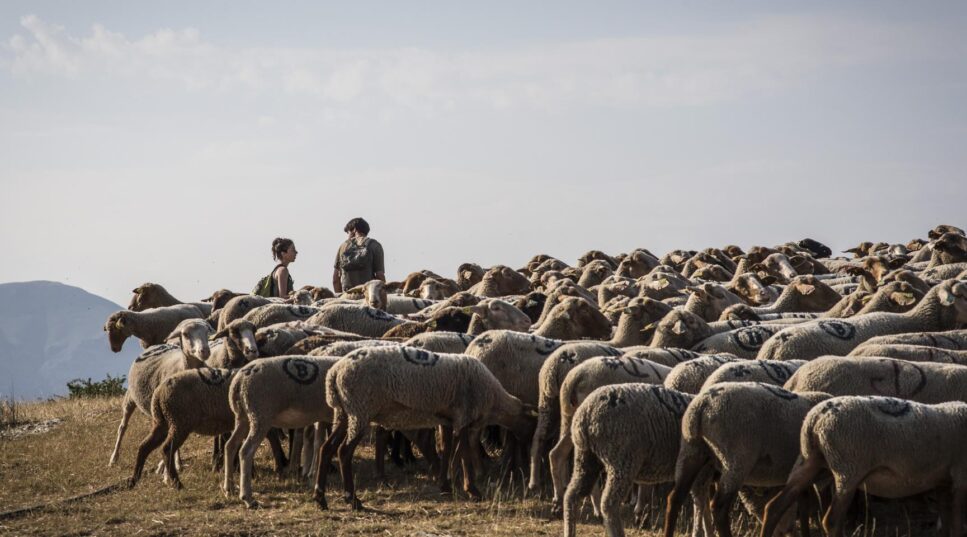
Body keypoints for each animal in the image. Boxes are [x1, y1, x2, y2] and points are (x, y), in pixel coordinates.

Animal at [221, 355, 341, 508]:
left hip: (243, 416)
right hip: (260, 415)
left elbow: (318, 444)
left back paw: (228, 488)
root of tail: (239, 380)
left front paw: (312, 476)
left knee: (230, 446)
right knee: (246, 451)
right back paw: (248, 498)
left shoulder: (321, 416)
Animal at [312, 346, 533, 510]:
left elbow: (447, 451)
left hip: (345, 412)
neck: (494, 399)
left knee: (326, 448)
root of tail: (334, 373)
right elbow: (465, 454)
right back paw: (352, 499)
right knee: (343, 452)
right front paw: (472, 490)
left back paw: (320, 498)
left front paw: (445, 485)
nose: (529, 456)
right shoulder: (463, 417)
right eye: (532, 425)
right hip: (360, 410)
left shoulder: (448, 420)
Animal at [563, 384, 694, 537]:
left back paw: (569, 530)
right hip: (621, 460)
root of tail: (585, 414)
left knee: (571, 496)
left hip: (585, 458)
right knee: (609, 504)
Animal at [663, 383, 832, 537]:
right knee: (719, 507)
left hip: (691, 451)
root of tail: (702, 405)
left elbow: (804, 504)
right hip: (736, 459)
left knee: (675, 498)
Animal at [760, 396, 967, 537]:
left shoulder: (943, 482)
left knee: (774, 507)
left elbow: (947, 524)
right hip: (848, 469)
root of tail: (817, 418)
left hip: (809, 462)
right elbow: (957, 526)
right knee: (832, 520)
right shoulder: (960, 477)